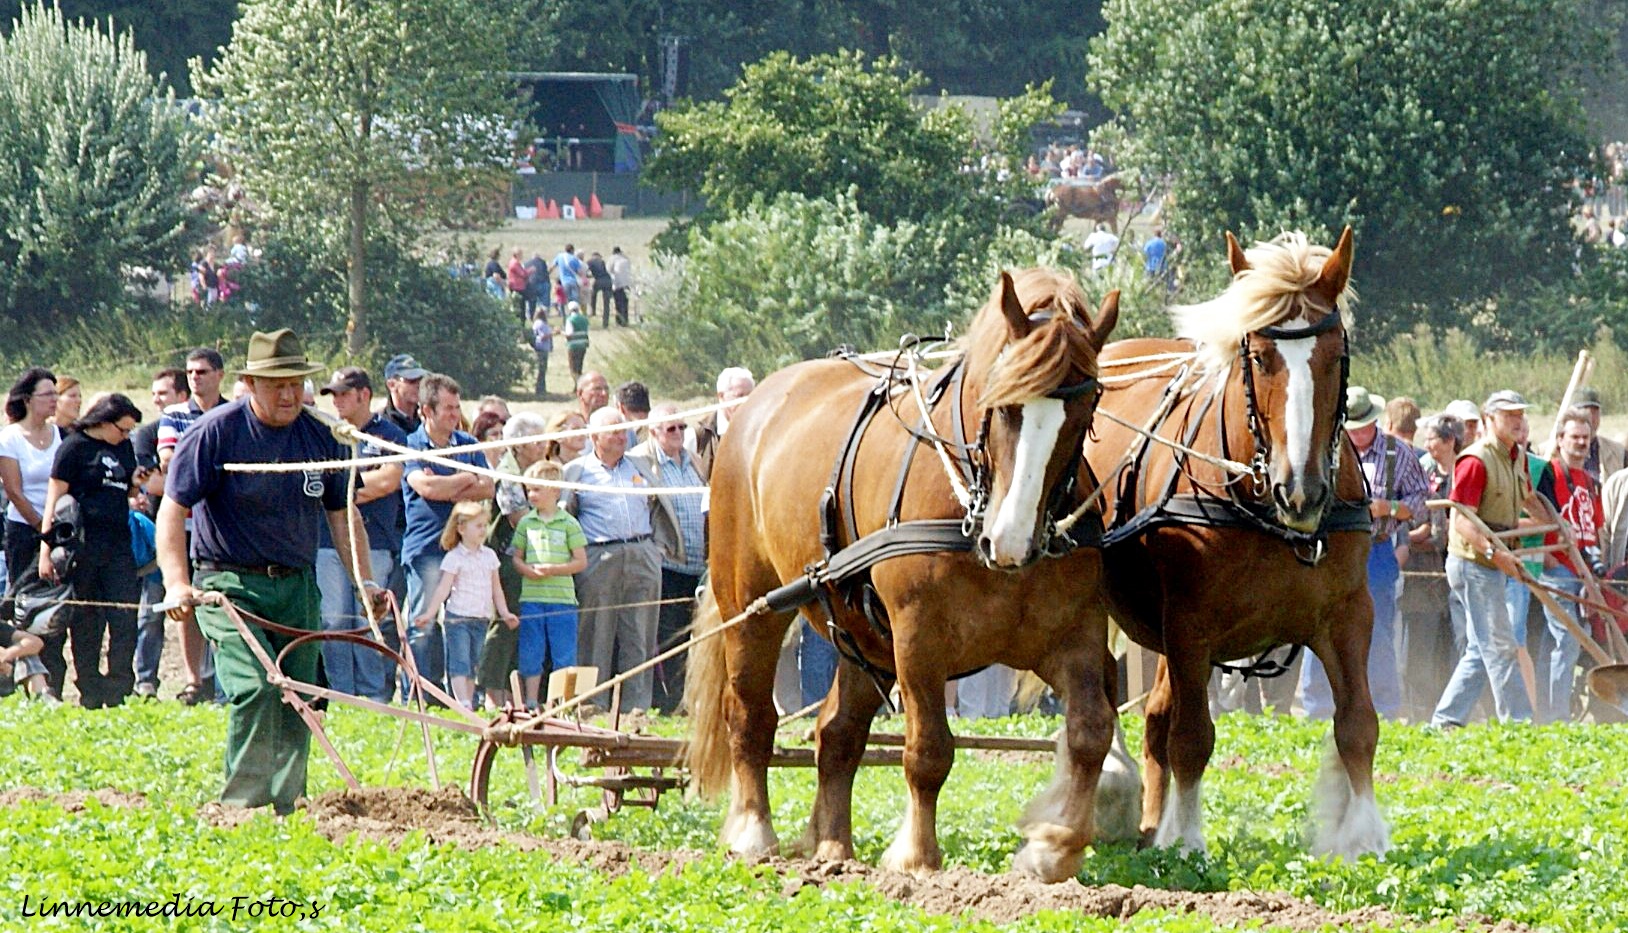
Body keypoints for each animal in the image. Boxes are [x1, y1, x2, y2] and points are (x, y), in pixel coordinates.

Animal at [683, 268, 1120, 879]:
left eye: (1082, 414)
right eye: (1003, 406)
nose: (1011, 542)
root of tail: (755, 407)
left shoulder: (1070, 635)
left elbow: (1090, 731)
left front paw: (1051, 847)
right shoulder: (918, 639)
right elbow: (929, 750)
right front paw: (914, 855)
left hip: (859, 632)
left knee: (836, 733)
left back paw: (832, 847)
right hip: (751, 605)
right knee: (748, 715)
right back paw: (752, 833)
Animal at [1080, 227, 1387, 859]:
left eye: (1334, 355)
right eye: (1260, 356)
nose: (1303, 490)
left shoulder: (1349, 615)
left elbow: (1358, 725)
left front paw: (1365, 835)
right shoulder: (1190, 627)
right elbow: (1193, 736)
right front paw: (1189, 840)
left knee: (1155, 718)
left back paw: (1154, 824)